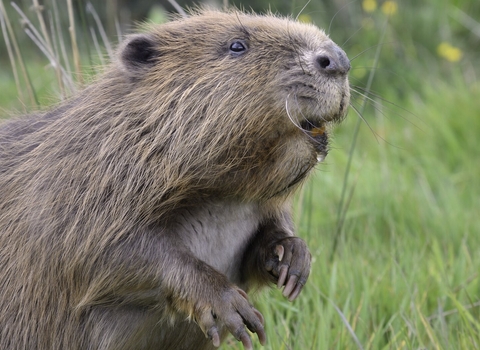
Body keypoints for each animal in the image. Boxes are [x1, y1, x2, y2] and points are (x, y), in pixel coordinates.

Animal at [0, 8, 348, 350]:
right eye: (237, 45)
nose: (337, 59)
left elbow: (265, 240)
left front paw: (293, 260)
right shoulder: (76, 192)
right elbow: (109, 255)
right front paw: (234, 309)